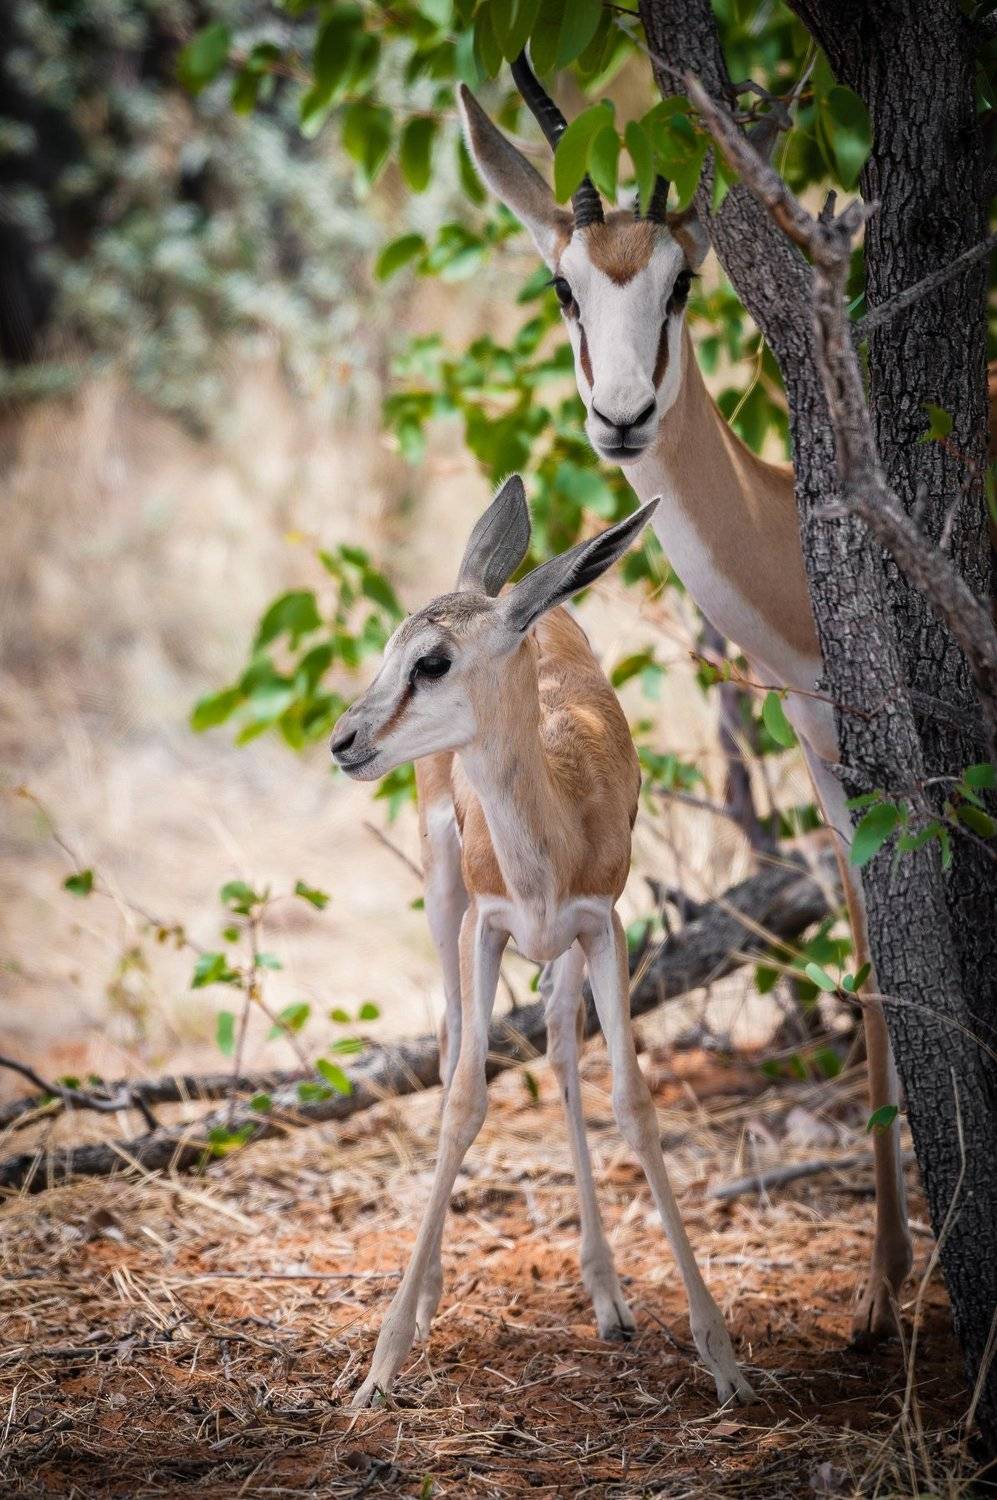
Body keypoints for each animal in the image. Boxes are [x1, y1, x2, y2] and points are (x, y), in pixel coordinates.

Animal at [331, 476, 755, 1409]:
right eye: (391, 648)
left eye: (432, 662)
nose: (344, 740)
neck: (548, 839)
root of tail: (529, 601)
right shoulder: (486, 925)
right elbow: (463, 1099)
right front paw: (380, 1365)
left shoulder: (603, 925)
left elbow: (631, 1103)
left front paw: (723, 1357)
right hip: (442, 897)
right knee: (453, 1037)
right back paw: (428, 1300)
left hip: (556, 949)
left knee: (561, 1046)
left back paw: (607, 1295)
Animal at [455, 53, 913, 1350]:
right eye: (563, 284)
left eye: (682, 281)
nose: (618, 416)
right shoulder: (832, 757)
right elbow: (880, 961)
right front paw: (878, 1288)